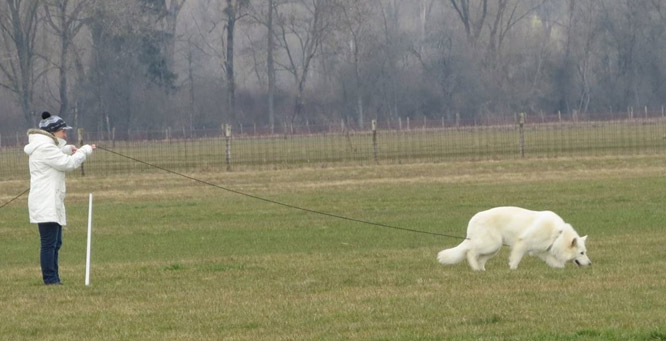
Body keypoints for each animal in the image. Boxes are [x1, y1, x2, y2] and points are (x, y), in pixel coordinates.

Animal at [438, 206, 588, 270]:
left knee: (479, 258)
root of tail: (473, 219)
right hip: (491, 244)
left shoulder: (543, 251)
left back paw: (481, 270)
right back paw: (475, 268)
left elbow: (557, 264)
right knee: (470, 251)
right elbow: (516, 259)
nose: (590, 263)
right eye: (582, 253)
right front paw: (512, 269)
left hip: (493, 249)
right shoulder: (522, 243)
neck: (558, 233)